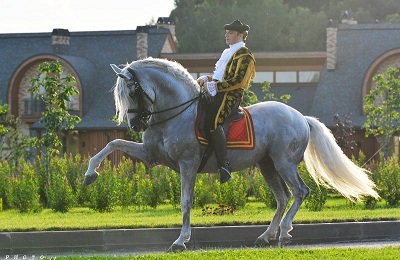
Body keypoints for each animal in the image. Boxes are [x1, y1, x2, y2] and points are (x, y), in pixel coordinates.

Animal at [83, 57, 378, 252]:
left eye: (132, 91)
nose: (135, 125)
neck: (176, 113)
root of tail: (300, 117)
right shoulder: (150, 155)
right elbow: (112, 145)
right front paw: (89, 175)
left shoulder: (187, 164)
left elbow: (185, 201)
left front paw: (180, 240)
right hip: (266, 165)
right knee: (282, 197)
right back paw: (266, 236)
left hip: (284, 163)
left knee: (299, 192)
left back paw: (284, 233)